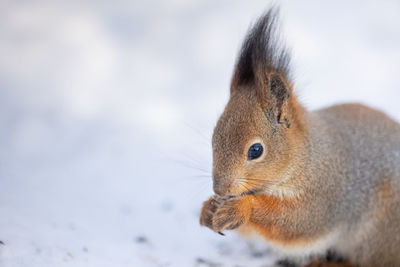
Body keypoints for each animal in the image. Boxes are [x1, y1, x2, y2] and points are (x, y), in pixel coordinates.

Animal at [200, 6, 400, 267]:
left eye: (256, 150)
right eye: (214, 137)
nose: (220, 189)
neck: (306, 156)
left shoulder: (324, 191)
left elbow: (296, 221)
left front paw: (241, 208)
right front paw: (208, 210)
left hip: (380, 233)